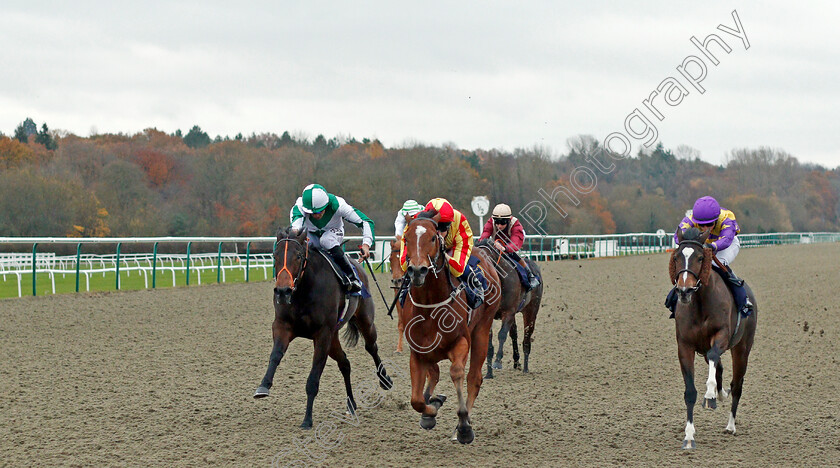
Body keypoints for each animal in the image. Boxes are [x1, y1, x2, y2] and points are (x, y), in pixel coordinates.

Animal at [253, 227, 394, 428]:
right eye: (275, 255)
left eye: (298, 256)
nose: (282, 291)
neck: (303, 291)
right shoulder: (282, 326)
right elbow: (275, 355)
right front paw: (263, 385)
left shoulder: (322, 334)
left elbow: (314, 377)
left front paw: (307, 419)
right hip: (334, 338)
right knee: (345, 363)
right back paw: (351, 404)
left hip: (364, 320)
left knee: (371, 347)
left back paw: (385, 380)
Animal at [472, 241, 544, 376]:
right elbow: (489, 341)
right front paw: (489, 373)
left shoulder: (509, 312)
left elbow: (502, 335)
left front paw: (497, 362)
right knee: (514, 333)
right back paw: (517, 362)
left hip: (531, 310)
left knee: (527, 337)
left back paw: (525, 368)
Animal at [672, 227, 756, 450]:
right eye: (676, 257)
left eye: (701, 257)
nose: (684, 291)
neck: (700, 303)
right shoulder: (685, 346)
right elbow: (690, 392)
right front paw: (689, 436)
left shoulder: (722, 335)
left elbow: (713, 355)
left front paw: (709, 394)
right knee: (719, 368)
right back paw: (720, 393)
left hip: (742, 348)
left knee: (737, 385)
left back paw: (730, 425)